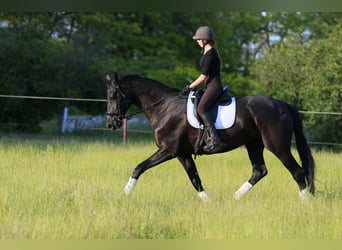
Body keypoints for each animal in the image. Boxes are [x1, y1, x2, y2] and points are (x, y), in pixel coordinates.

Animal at [106, 73, 316, 201]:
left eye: (113, 96)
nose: (110, 124)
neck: (164, 107)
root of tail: (281, 104)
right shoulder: (182, 154)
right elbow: (195, 179)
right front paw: (209, 202)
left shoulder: (168, 150)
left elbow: (139, 168)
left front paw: (124, 194)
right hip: (254, 144)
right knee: (259, 171)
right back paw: (234, 198)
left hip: (277, 146)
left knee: (298, 172)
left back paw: (305, 203)